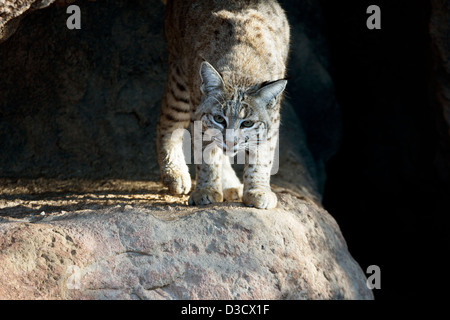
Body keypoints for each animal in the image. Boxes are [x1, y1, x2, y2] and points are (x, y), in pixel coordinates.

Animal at [156, 0, 290, 209]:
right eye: (219, 119)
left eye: (247, 123)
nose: (230, 142)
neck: (241, 73)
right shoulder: (200, 117)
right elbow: (206, 156)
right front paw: (206, 190)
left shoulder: (272, 119)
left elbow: (262, 157)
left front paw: (257, 190)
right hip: (180, 77)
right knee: (166, 121)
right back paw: (174, 174)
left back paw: (231, 185)